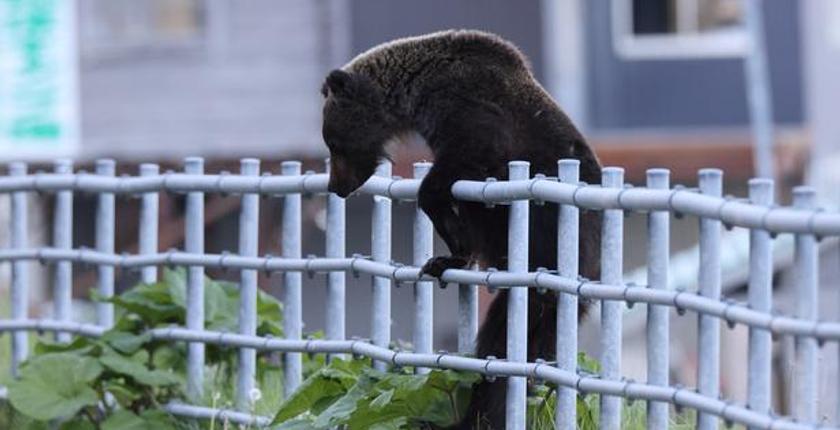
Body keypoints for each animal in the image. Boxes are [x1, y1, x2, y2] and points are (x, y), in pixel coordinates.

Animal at [320, 29, 602, 429]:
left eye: (333, 141)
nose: (336, 186)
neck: (416, 90)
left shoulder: (470, 109)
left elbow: (461, 162)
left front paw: (449, 239)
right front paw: (446, 256)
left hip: (550, 241)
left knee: (509, 330)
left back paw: (480, 410)